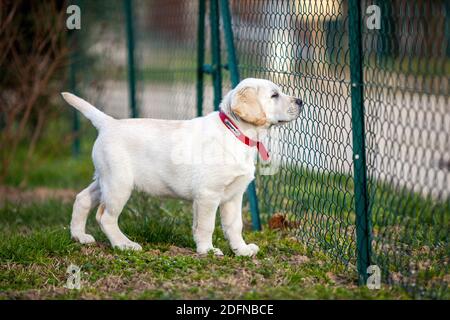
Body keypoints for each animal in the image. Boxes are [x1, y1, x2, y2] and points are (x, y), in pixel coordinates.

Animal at [60, 79, 302, 256]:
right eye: (274, 95)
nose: (300, 101)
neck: (235, 132)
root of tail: (109, 123)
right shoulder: (208, 195)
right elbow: (206, 226)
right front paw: (207, 250)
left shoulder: (233, 196)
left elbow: (235, 226)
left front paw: (241, 250)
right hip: (119, 184)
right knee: (105, 217)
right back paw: (124, 245)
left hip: (105, 180)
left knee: (82, 198)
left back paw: (79, 237)